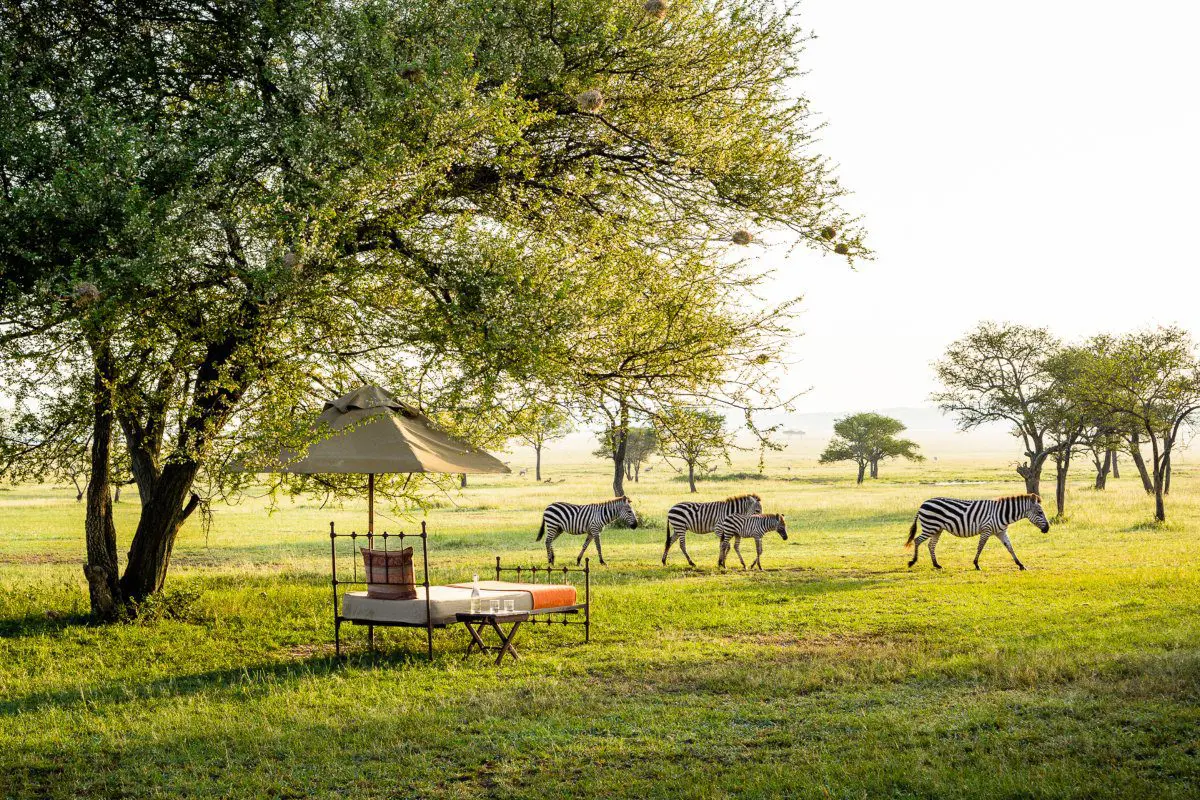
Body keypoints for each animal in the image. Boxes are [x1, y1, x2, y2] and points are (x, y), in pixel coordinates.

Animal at [902, 491, 1046, 573]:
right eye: (1040, 512)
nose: (1047, 529)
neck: (1002, 513)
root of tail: (923, 503)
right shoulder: (986, 529)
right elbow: (980, 547)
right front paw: (976, 565)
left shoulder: (1001, 532)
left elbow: (1010, 548)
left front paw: (1021, 565)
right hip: (930, 527)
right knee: (917, 540)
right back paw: (912, 561)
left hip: (937, 529)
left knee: (931, 545)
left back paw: (936, 564)